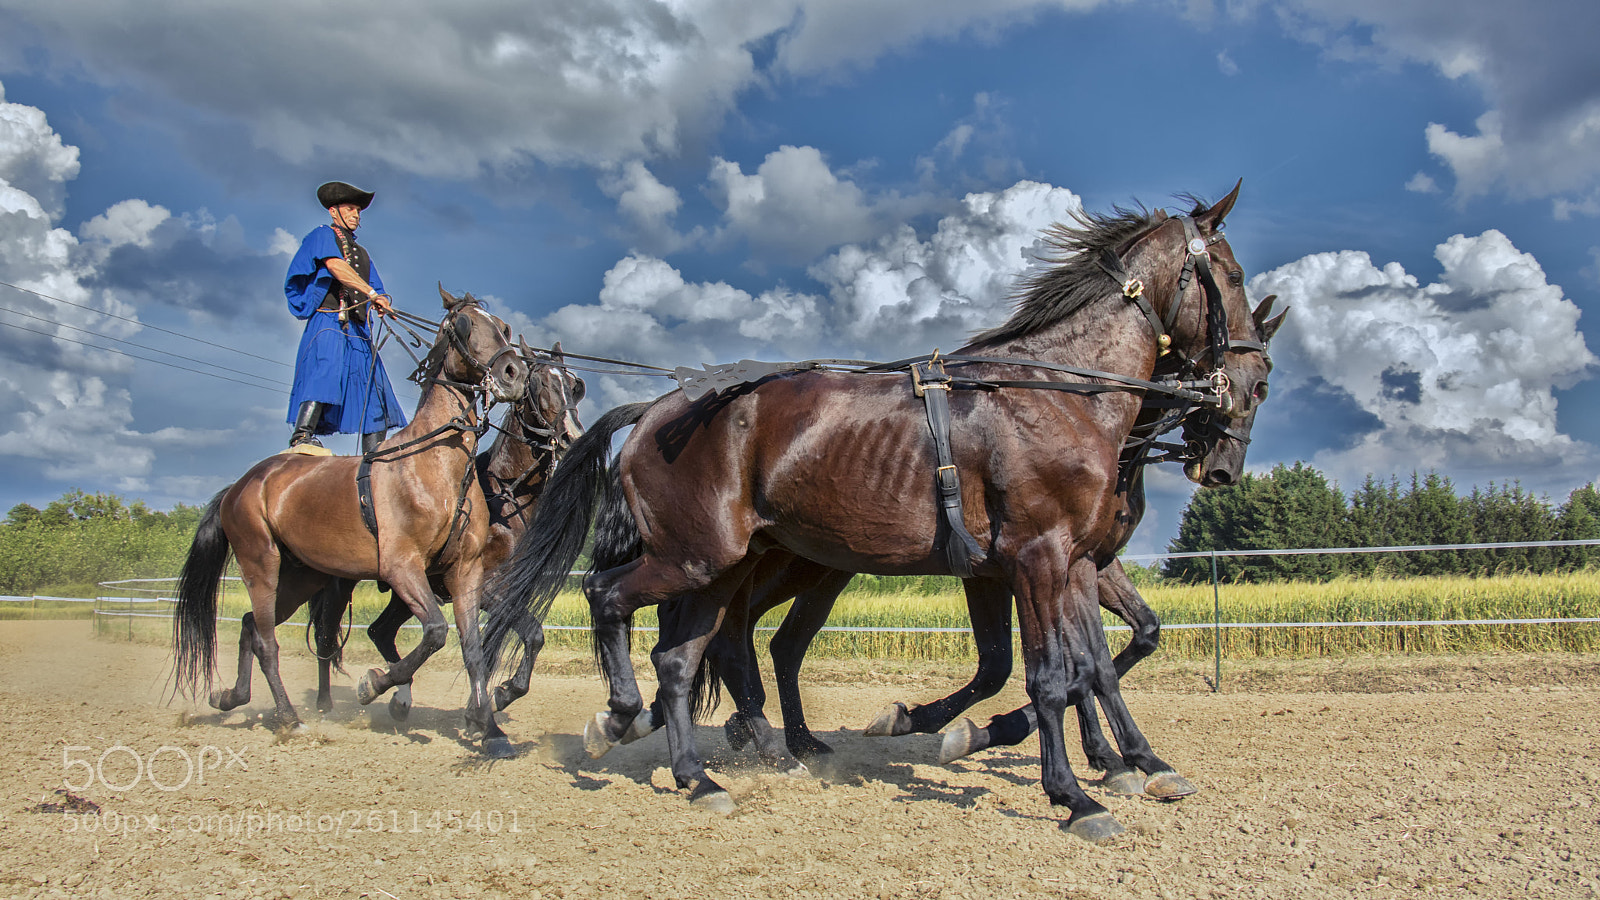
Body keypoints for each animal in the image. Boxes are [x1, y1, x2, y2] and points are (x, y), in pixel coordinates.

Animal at [173, 287, 529, 756]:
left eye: (504, 326)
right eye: (465, 325)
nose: (514, 374)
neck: (435, 463)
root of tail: (243, 483)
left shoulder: (465, 572)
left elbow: (471, 649)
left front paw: (490, 730)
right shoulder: (401, 568)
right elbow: (434, 632)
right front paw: (375, 684)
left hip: (301, 576)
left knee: (251, 625)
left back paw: (232, 696)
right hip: (261, 565)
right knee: (266, 640)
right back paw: (290, 719)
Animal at [313, 341, 586, 721]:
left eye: (574, 386)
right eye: (538, 383)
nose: (572, 437)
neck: (505, 496)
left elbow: (517, 640)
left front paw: (492, 698)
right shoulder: (484, 587)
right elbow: (531, 634)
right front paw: (497, 696)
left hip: (406, 589)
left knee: (380, 631)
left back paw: (400, 697)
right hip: (341, 583)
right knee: (326, 637)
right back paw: (325, 703)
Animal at [486, 184, 1273, 838]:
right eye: (1232, 276)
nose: (1244, 383)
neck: (1054, 393)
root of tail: (656, 408)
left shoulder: (1063, 565)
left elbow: (1085, 667)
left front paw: (1126, 761)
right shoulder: (1037, 560)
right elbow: (1051, 675)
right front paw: (1075, 795)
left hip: (722, 568)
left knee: (685, 658)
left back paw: (700, 774)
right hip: (697, 558)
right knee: (610, 598)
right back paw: (627, 715)